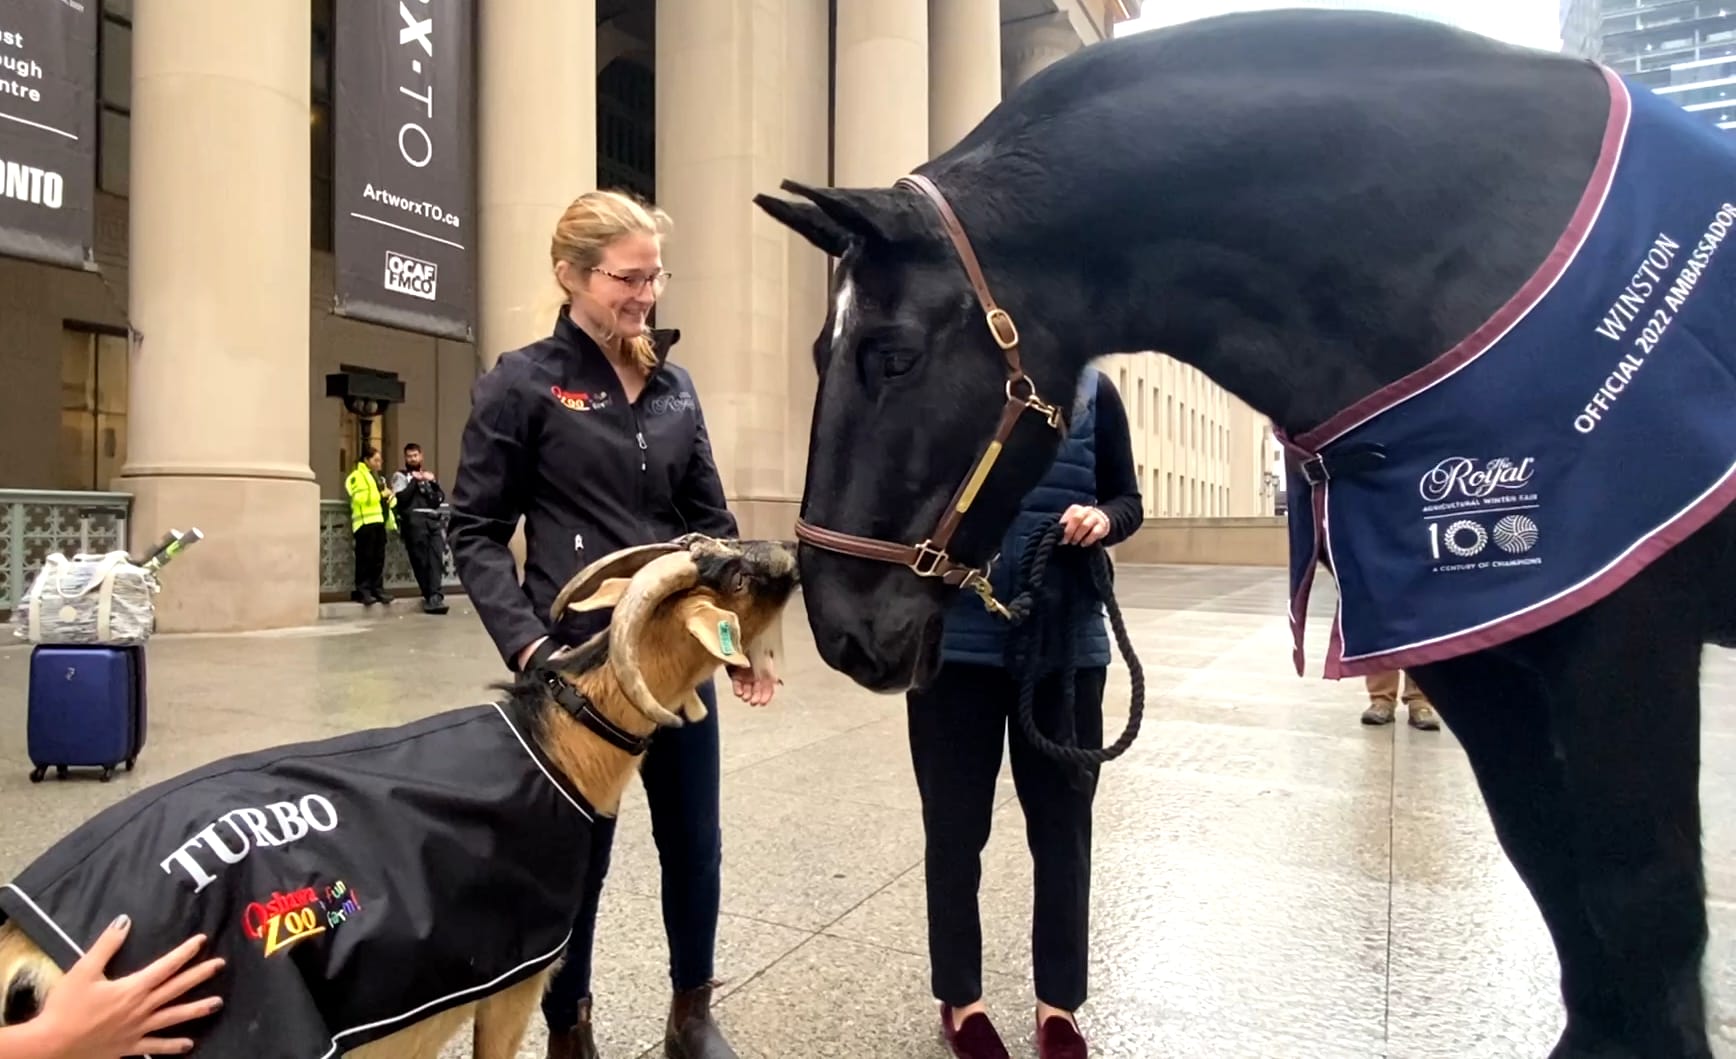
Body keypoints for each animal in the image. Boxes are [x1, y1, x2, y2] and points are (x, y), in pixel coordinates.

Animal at [763, 10, 1736, 1055]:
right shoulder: (1487, 652)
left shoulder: (1617, 643)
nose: (839, 626)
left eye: (891, 354)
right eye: (818, 350)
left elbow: (1641, 923)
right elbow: (1579, 921)